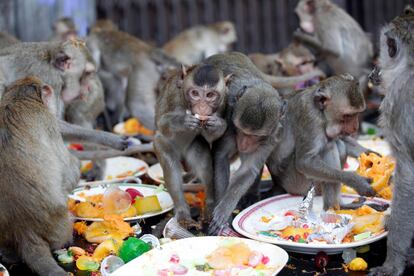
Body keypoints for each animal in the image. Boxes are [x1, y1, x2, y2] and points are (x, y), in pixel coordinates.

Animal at [154, 63, 230, 227]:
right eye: (195, 93)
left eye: (210, 95)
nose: (202, 108)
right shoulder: (173, 95)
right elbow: (161, 122)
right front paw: (182, 121)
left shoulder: (223, 103)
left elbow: (212, 136)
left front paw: (217, 124)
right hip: (162, 145)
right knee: (170, 163)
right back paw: (183, 212)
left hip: (194, 146)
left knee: (204, 164)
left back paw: (209, 205)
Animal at [205, 51, 286, 233]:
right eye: (240, 131)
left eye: (255, 136)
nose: (243, 144)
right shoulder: (228, 122)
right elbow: (220, 158)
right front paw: (222, 212)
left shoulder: (272, 137)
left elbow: (249, 169)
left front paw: (224, 209)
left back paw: (252, 194)